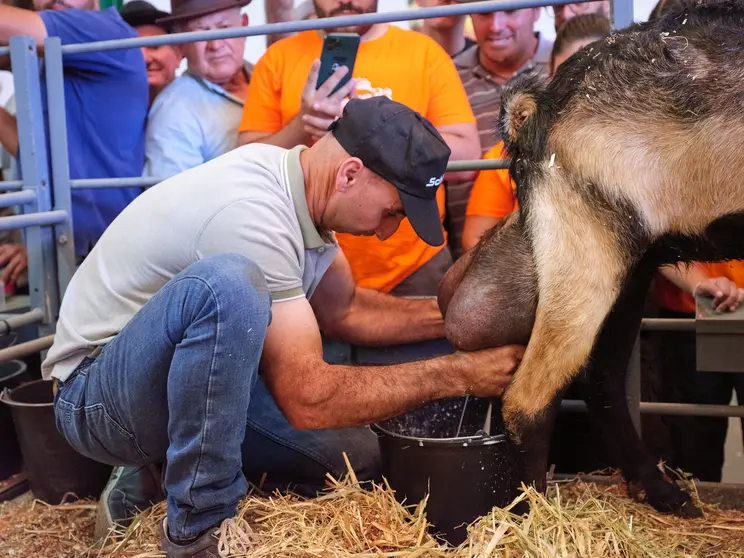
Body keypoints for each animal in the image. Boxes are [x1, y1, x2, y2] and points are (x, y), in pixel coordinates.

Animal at [438, 0, 744, 520]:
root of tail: (537, 107)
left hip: (632, 261)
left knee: (601, 378)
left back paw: (663, 493)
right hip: (587, 253)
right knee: (530, 398)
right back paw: (539, 518)